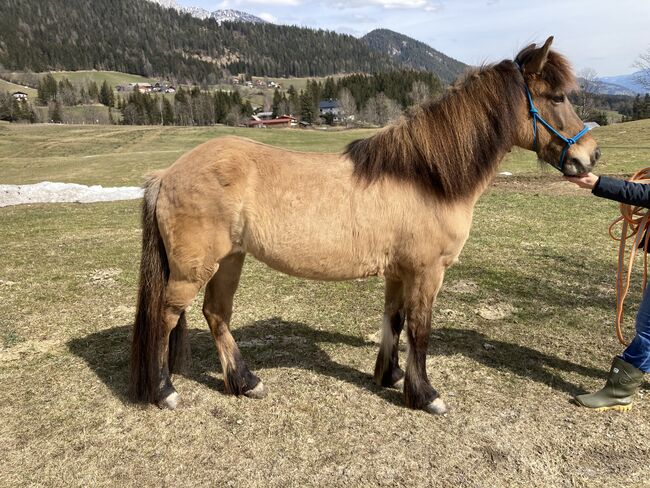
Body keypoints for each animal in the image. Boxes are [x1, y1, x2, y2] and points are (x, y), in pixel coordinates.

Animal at [130, 36, 596, 414]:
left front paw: (390, 377)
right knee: (165, 317)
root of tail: (166, 175)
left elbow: (394, 320)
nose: (590, 157)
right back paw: (165, 392)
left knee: (216, 314)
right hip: (192, 271)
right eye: (556, 97)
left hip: (229, 260)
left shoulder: (399, 272)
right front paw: (426, 395)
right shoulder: (427, 272)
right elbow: (420, 329)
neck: (425, 176)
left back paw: (246, 383)